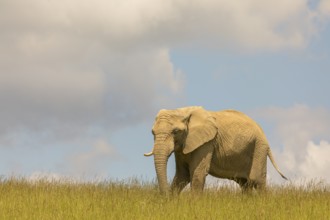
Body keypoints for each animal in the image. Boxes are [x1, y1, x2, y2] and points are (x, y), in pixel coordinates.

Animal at [144, 106, 286, 194]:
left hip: (259, 148)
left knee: (257, 180)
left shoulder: (206, 143)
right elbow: (182, 174)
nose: (165, 195)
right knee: (244, 184)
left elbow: (198, 173)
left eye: (175, 131)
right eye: (152, 132)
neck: (183, 111)